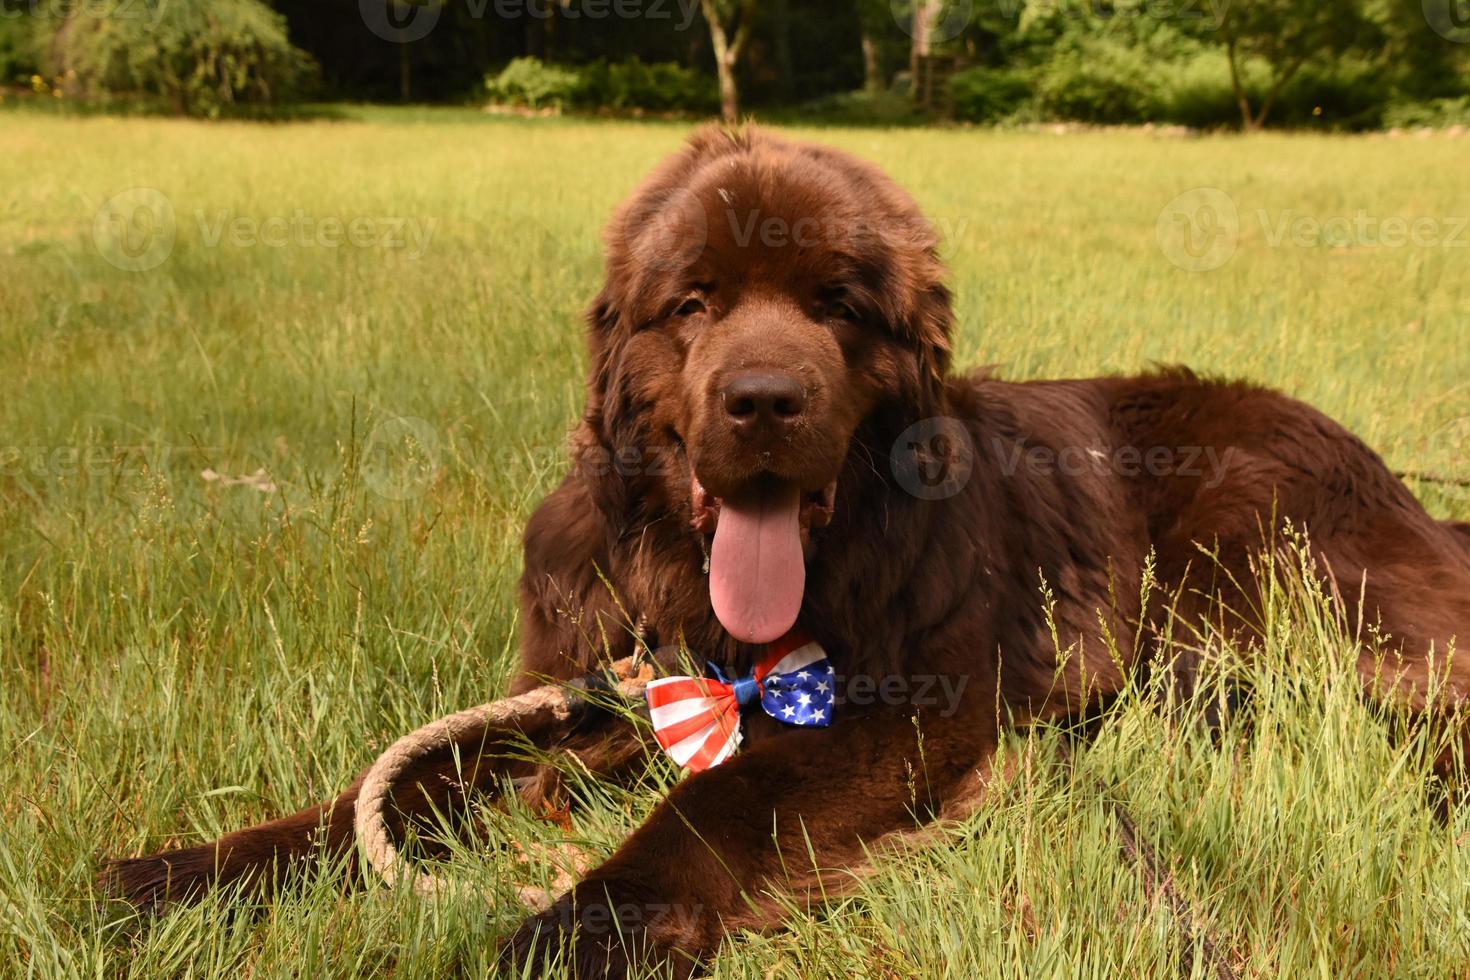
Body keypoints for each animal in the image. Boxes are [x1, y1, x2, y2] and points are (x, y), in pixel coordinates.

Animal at [106, 128, 1470, 975]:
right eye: (693, 302)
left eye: (837, 305)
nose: (763, 398)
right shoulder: (588, 685)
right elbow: (397, 785)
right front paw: (193, 871)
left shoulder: (897, 711)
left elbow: (714, 800)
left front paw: (576, 929)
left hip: (1267, 574)